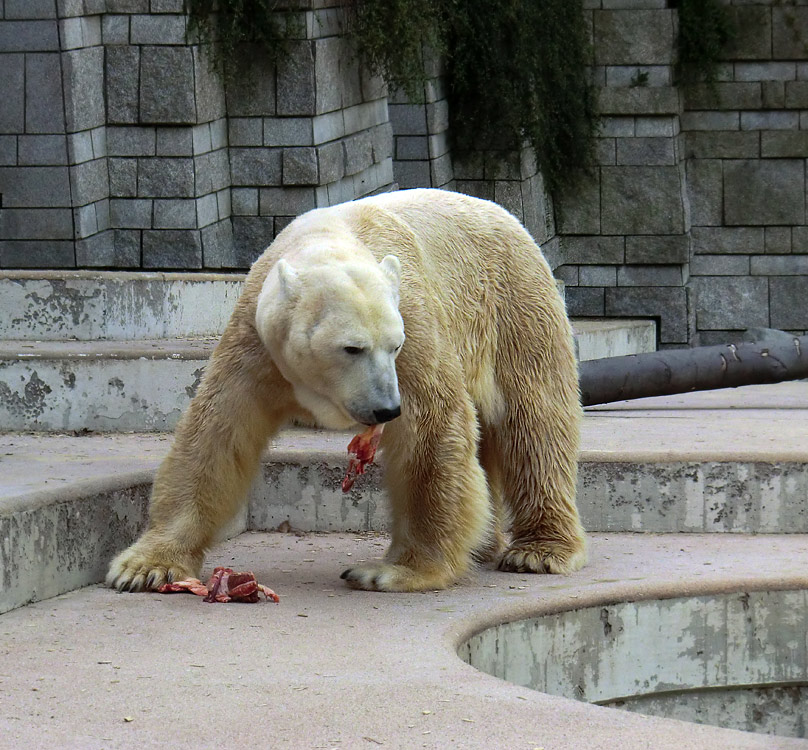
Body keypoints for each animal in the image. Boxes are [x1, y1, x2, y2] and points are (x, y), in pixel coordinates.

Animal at [109, 188, 588, 592]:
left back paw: (538, 551)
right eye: (351, 347)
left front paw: (396, 571)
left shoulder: (412, 318)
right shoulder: (256, 343)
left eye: (394, 345)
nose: (386, 409)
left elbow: (433, 423)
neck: (330, 240)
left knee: (535, 422)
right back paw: (486, 543)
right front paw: (145, 567)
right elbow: (217, 432)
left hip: (515, 307)